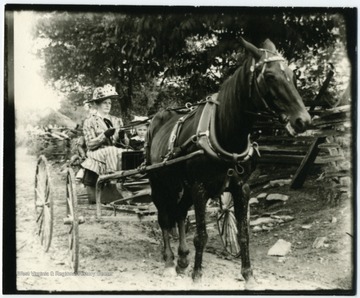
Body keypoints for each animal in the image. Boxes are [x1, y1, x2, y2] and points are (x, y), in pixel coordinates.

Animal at [145, 36, 310, 286]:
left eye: (292, 75)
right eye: (269, 76)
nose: (303, 120)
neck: (224, 133)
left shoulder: (241, 188)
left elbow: (243, 234)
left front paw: (248, 275)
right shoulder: (199, 188)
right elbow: (201, 235)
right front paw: (197, 274)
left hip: (181, 186)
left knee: (180, 214)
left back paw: (182, 258)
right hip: (160, 183)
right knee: (164, 217)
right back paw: (169, 261)